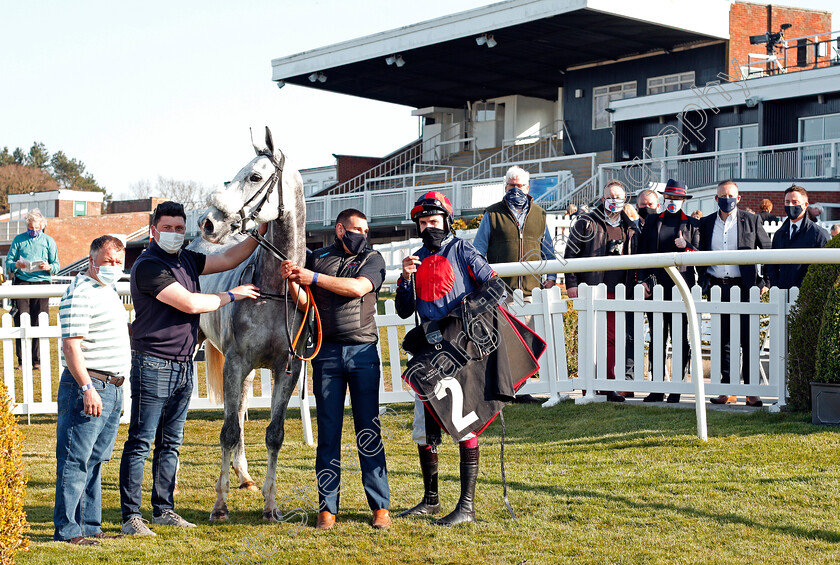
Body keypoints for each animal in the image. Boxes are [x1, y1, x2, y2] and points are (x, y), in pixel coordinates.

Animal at [190, 126, 308, 520]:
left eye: (255, 176)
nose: (209, 222)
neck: (273, 290)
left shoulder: (287, 369)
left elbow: (273, 432)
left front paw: (271, 506)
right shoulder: (236, 362)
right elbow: (227, 431)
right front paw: (219, 505)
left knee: (240, 411)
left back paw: (244, 476)